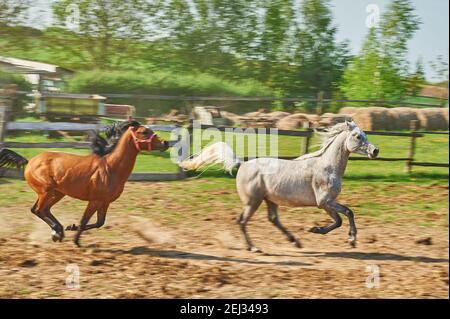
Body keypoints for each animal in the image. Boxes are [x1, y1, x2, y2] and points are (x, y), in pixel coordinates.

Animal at [0, 121, 168, 246]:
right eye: (144, 132)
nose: (165, 142)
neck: (111, 167)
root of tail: (29, 162)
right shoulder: (94, 201)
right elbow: (84, 220)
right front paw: (75, 238)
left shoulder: (105, 202)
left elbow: (100, 222)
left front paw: (72, 228)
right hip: (46, 191)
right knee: (39, 210)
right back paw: (58, 231)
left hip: (57, 193)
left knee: (42, 209)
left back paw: (58, 231)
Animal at [180, 121, 380, 254]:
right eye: (357, 136)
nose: (375, 151)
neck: (327, 166)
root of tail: (242, 165)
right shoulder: (324, 202)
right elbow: (342, 217)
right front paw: (325, 232)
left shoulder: (329, 202)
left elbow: (346, 215)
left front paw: (349, 239)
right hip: (253, 201)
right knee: (242, 221)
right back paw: (253, 247)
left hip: (270, 200)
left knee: (273, 219)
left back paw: (295, 242)